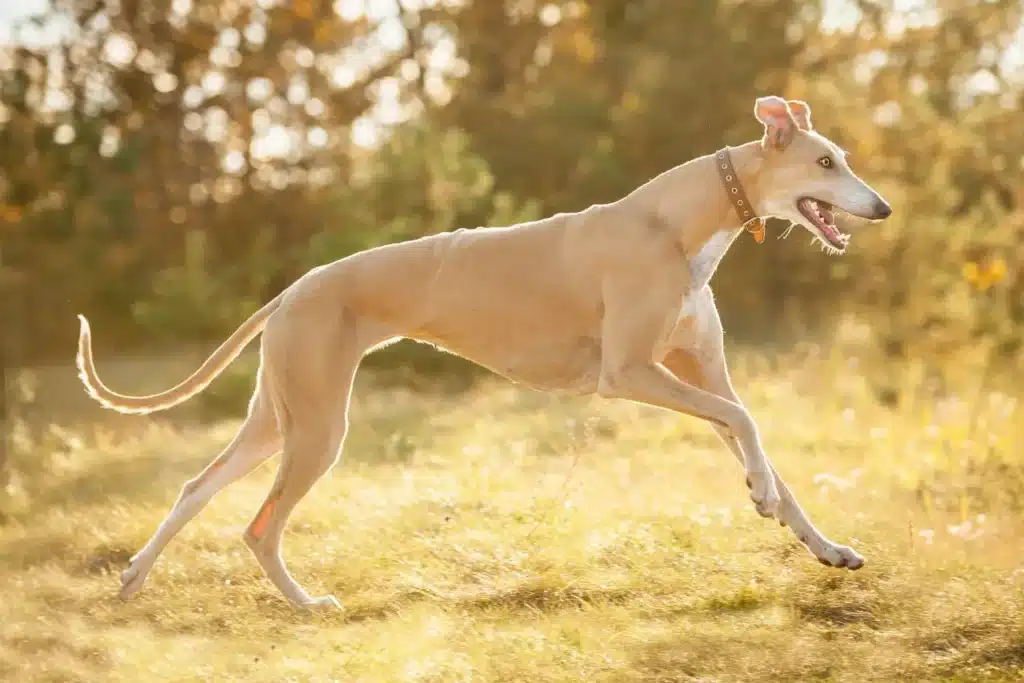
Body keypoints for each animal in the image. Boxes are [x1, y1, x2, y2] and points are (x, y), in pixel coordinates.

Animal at [79, 94, 892, 610]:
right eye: (825, 163)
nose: (883, 207)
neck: (677, 222)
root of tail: (289, 292)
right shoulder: (629, 372)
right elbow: (748, 425)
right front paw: (760, 495)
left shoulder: (698, 375)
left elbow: (759, 442)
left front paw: (825, 545)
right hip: (317, 427)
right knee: (259, 526)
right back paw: (306, 605)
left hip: (278, 420)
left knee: (196, 487)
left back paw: (134, 577)